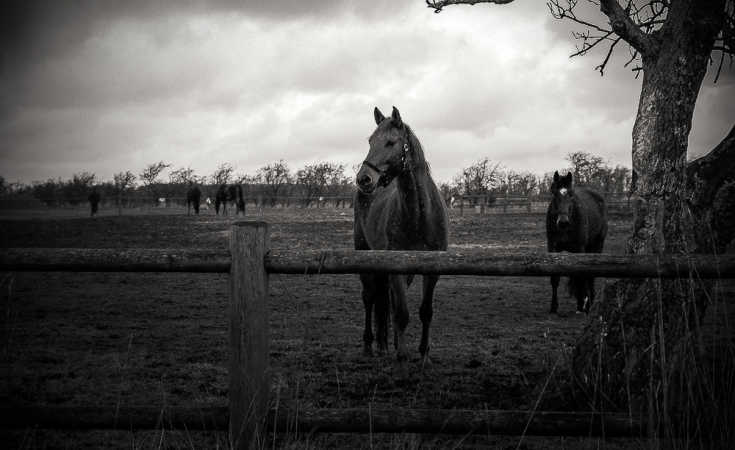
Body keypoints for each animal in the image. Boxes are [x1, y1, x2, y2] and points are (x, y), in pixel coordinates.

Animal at [354, 106, 449, 363]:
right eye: (370, 141)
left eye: (390, 142)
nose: (364, 179)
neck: (420, 217)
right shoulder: (396, 267)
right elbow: (402, 312)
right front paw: (403, 355)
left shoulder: (432, 271)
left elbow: (425, 311)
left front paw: (424, 354)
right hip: (364, 254)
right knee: (370, 297)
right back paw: (370, 345)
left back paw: (387, 344)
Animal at [546, 171, 607, 314]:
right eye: (554, 193)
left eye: (571, 194)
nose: (563, 222)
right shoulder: (552, 248)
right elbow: (555, 278)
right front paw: (553, 306)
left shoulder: (580, 249)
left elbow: (580, 275)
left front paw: (581, 305)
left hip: (597, 246)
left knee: (590, 276)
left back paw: (589, 302)